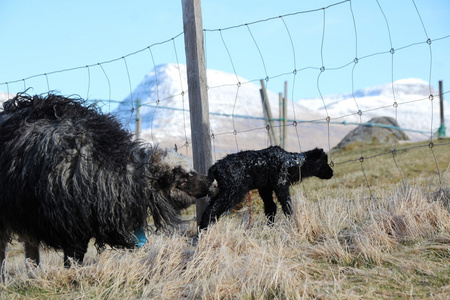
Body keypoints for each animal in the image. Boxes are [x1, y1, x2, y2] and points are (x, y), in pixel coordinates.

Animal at [0, 92, 218, 276]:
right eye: (181, 181)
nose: (212, 183)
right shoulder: (71, 226)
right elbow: (73, 259)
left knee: (30, 245)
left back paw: (33, 275)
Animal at [199, 146, 332, 230]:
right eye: (323, 162)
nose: (332, 173)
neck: (292, 163)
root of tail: (215, 168)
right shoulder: (280, 184)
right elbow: (287, 205)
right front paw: (292, 224)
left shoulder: (265, 187)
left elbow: (270, 207)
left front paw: (270, 227)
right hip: (233, 190)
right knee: (213, 210)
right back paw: (205, 231)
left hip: (221, 190)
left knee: (209, 209)